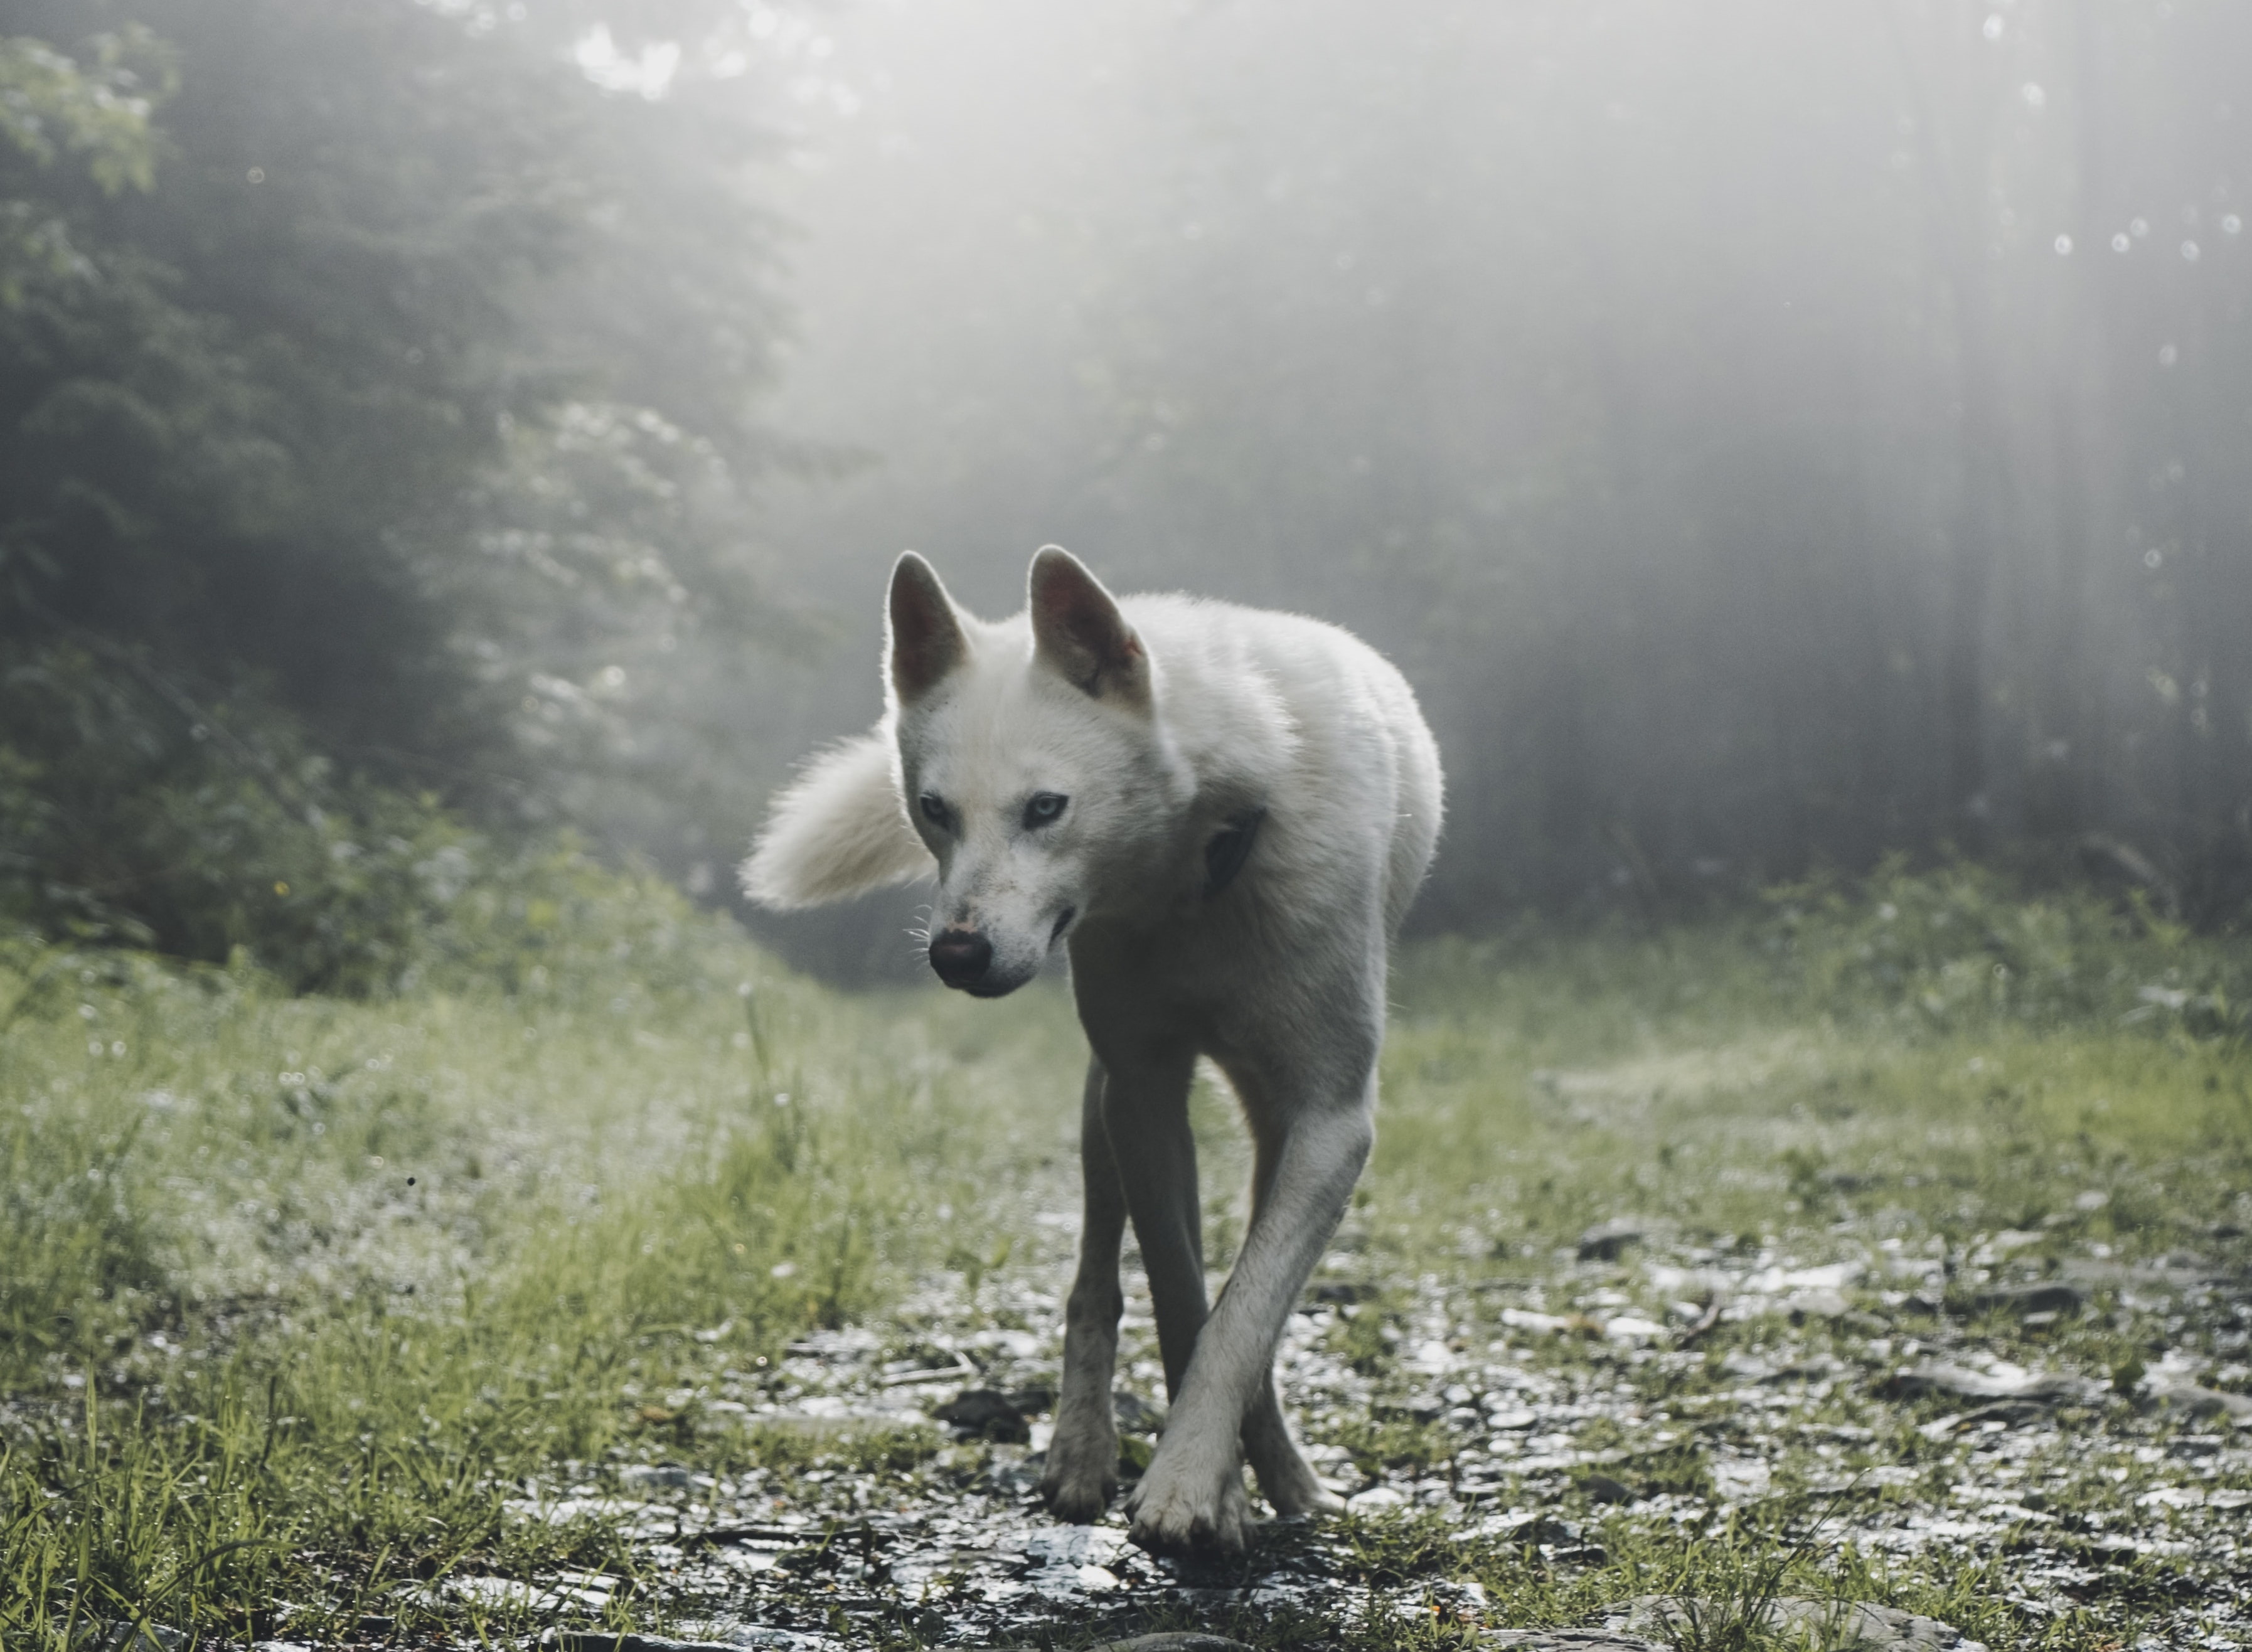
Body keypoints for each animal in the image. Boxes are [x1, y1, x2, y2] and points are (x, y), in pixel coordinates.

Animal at [742, 547, 1442, 1553]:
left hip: (1260, 1123)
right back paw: (1083, 1452)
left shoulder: (1331, 1122)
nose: (955, 954)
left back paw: (1287, 1473)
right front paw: (1212, 1488)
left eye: (1046, 807)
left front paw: (1199, 1479)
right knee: (1094, 1279)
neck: (1201, 870)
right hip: (1101, 1105)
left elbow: (1243, 1313)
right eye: (935, 810)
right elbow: (1184, 1300)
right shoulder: (1143, 1095)